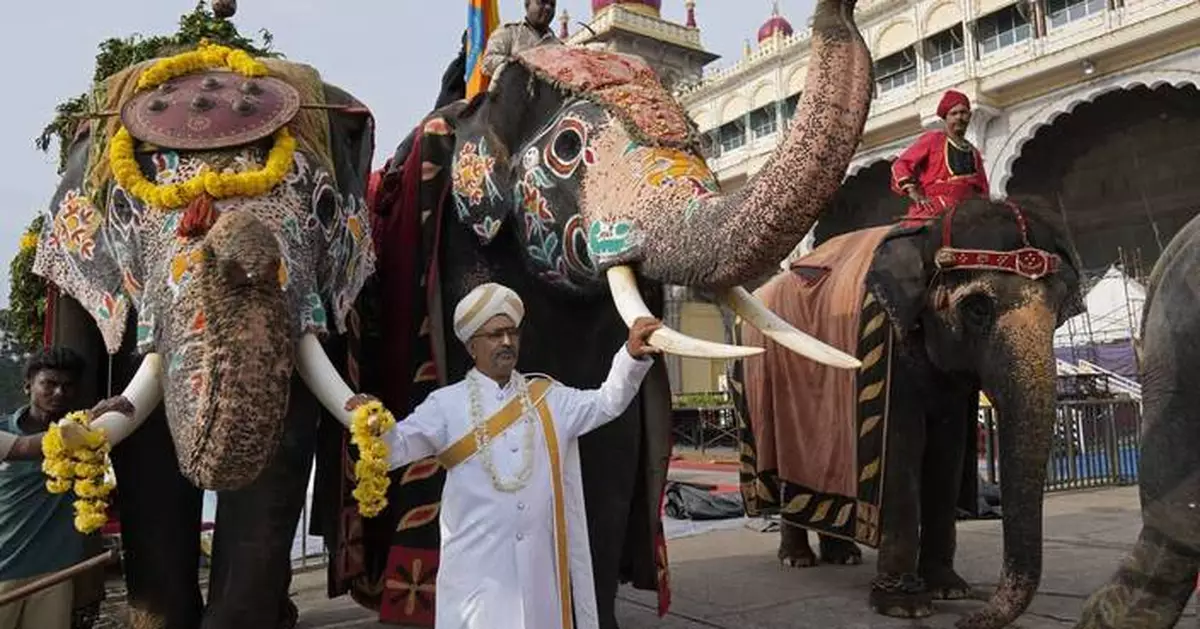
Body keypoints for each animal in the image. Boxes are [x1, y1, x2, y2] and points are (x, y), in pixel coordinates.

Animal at [729, 196, 1089, 629]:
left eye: (1060, 313)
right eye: (977, 309)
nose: (966, 621)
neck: (926, 236)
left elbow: (947, 452)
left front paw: (950, 590)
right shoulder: (889, 347)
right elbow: (902, 447)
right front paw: (905, 606)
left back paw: (843, 557)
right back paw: (797, 561)